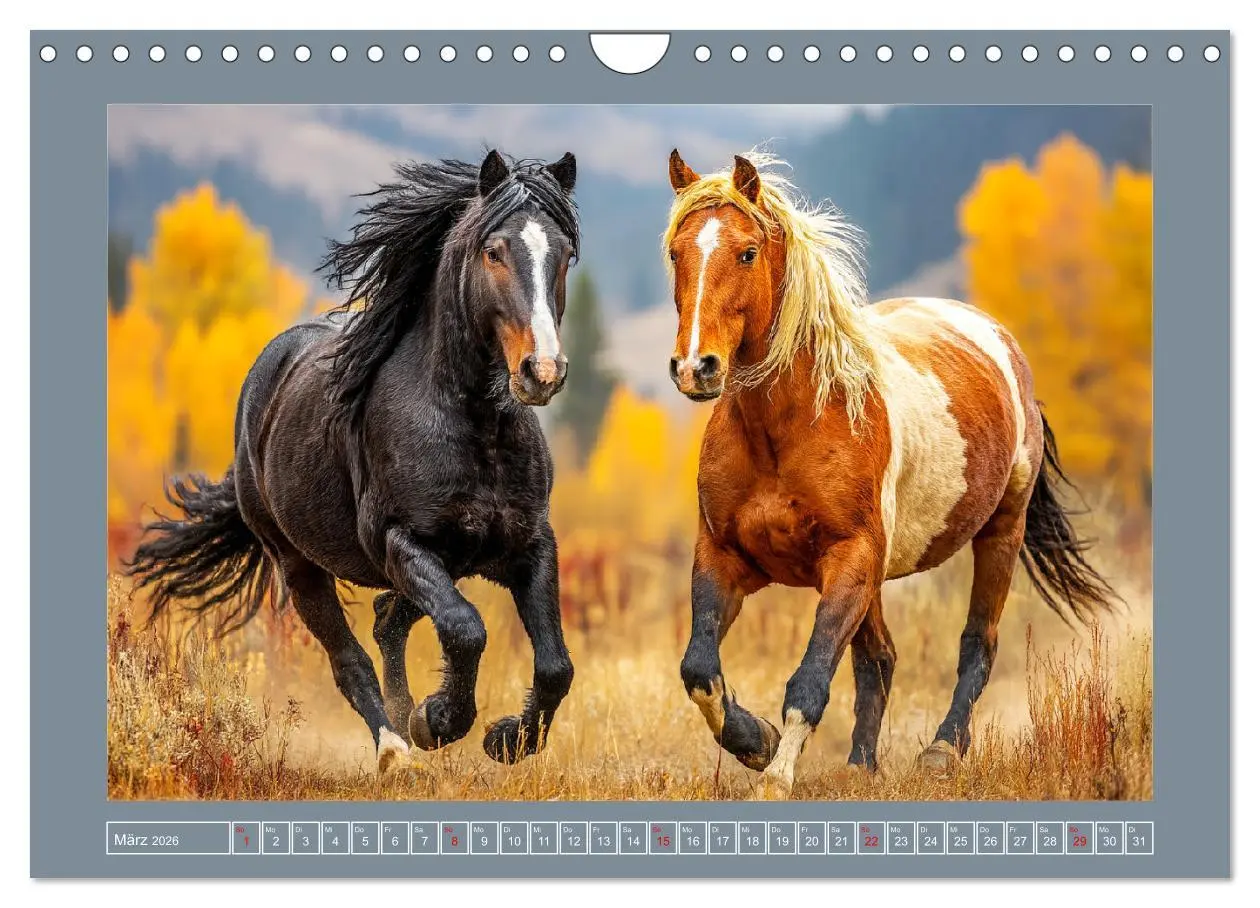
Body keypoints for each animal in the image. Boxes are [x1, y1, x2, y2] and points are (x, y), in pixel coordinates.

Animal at [127, 149, 581, 773]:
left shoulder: (530, 545)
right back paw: (395, 747)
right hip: (297, 563)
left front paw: (504, 740)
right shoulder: (399, 541)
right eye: (494, 251)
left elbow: (556, 664)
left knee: (390, 618)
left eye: (565, 254)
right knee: (351, 660)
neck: (472, 426)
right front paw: (438, 721)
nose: (543, 371)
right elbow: (465, 629)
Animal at [662, 150, 1116, 799]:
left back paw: (942, 751)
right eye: (677, 252)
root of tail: (1000, 342)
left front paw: (775, 775)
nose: (695, 367)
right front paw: (758, 744)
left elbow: (810, 680)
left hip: (998, 533)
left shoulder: (849, 559)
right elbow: (700, 670)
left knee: (977, 642)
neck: (790, 427)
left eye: (747, 252)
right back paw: (860, 766)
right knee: (879, 657)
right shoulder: (725, 557)